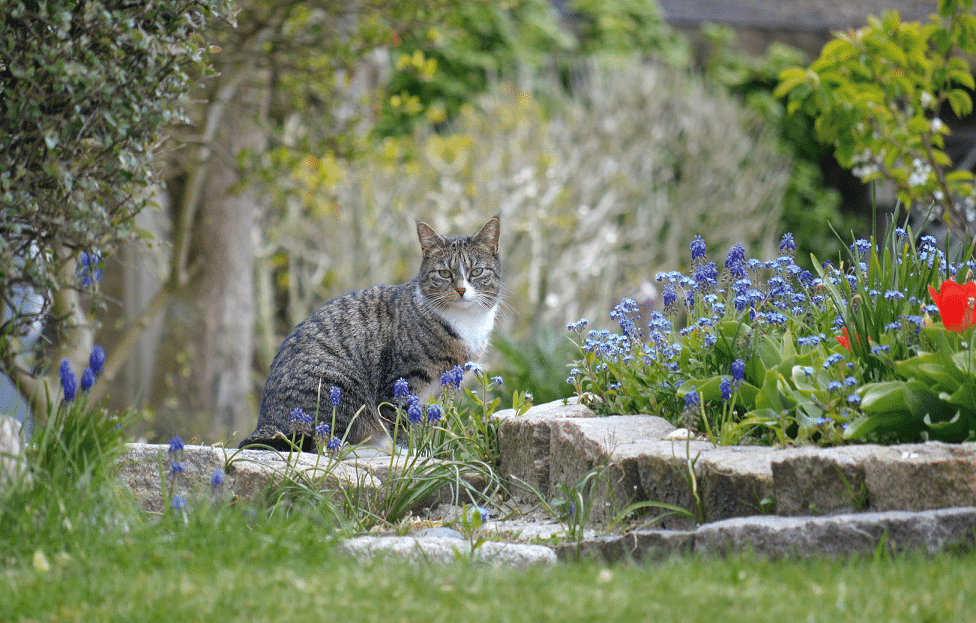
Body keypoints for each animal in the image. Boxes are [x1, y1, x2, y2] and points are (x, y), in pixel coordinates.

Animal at [240, 217, 504, 450]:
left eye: (477, 271)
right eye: (445, 274)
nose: (461, 290)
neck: (466, 322)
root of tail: (265, 423)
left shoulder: (443, 386)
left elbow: (429, 423)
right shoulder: (400, 382)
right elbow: (403, 425)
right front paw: (410, 454)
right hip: (337, 388)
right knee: (321, 442)